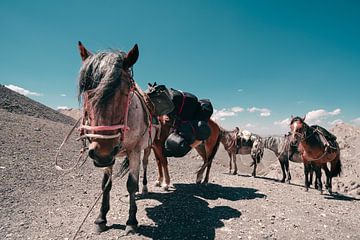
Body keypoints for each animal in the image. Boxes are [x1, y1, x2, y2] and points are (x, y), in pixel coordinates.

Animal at [77, 42, 156, 233]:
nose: (102, 153)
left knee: (144, 165)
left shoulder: (134, 151)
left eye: (126, 91)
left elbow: (131, 184)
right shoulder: (108, 156)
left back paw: (144, 188)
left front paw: (131, 221)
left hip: (148, 148)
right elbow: (106, 184)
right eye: (87, 93)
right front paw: (101, 219)